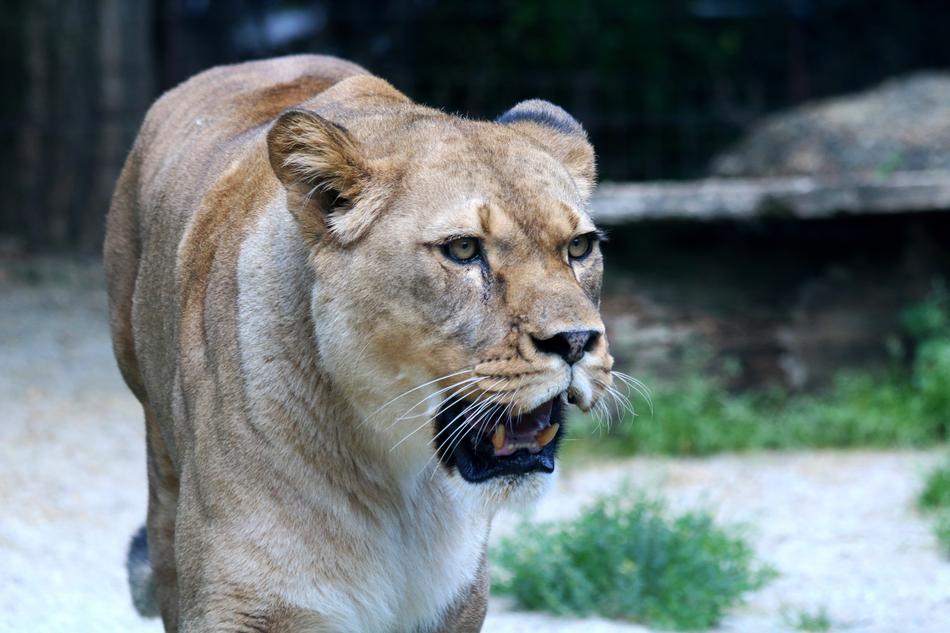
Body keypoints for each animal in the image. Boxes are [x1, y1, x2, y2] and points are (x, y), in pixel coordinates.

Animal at [105, 54, 614, 633]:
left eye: (579, 247)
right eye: (464, 249)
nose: (576, 341)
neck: (399, 480)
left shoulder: (456, 601)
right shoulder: (239, 601)